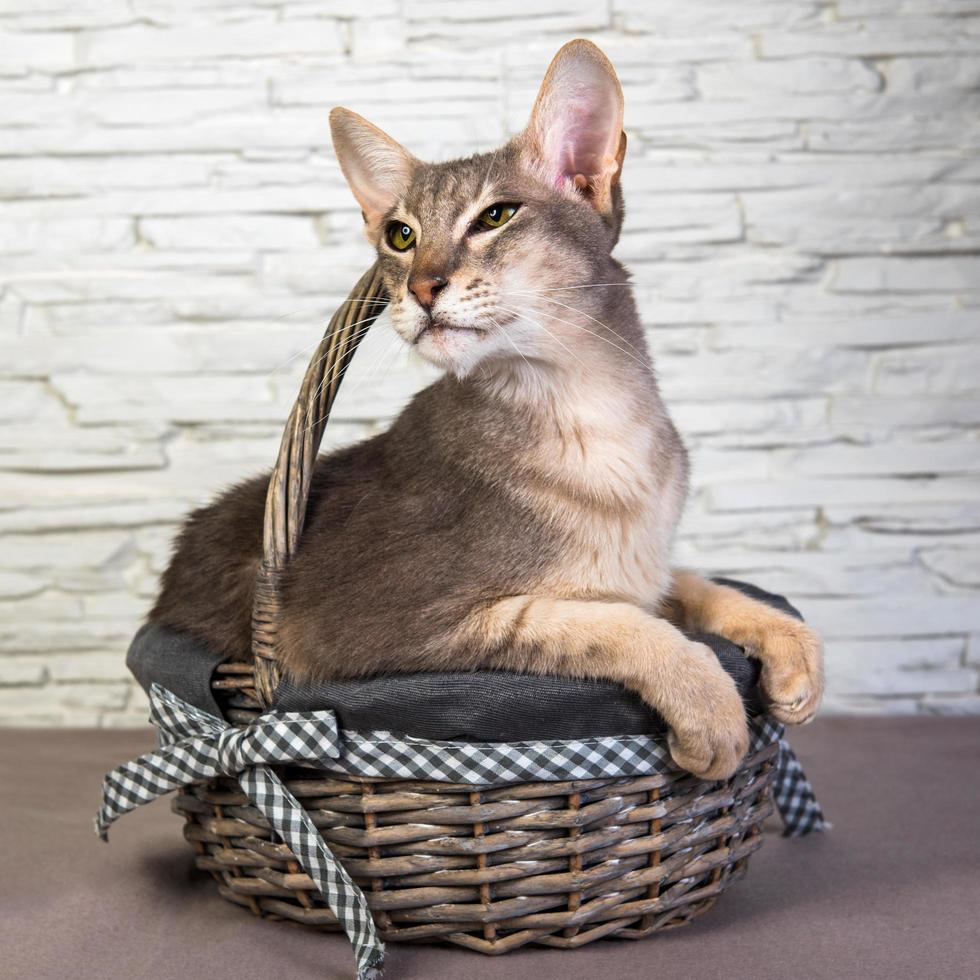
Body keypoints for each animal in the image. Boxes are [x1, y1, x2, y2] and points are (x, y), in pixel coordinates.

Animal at [149, 38, 824, 776]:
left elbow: (692, 583)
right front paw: (708, 701)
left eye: (495, 216)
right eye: (401, 235)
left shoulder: (641, 569)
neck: (592, 414)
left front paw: (789, 641)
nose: (420, 288)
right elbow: (602, 622)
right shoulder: (360, 627)